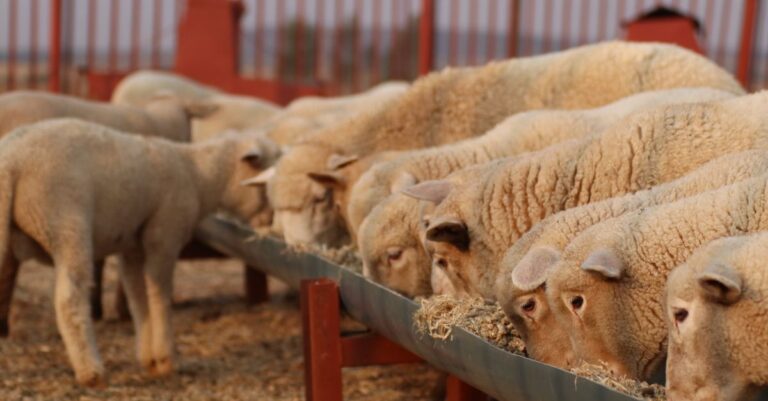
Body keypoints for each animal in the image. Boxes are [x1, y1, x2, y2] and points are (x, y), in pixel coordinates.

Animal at [0, 118, 280, 386]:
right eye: (263, 182)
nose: (272, 222)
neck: (198, 176)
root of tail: (12, 161)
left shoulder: (132, 247)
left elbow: (138, 298)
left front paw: (149, 359)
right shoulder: (164, 234)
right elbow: (159, 295)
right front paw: (167, 360)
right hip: (65, 222)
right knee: (70, 300)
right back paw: (91, 372)